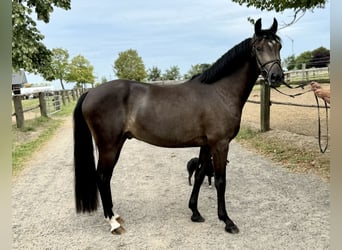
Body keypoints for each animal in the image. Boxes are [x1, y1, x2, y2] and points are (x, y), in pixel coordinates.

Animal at [73, 18, 284, 234]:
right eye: (258, 48)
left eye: (278, 46)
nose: (276, 77)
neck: (220, 92)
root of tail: (90, 92)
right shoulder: (220, 144)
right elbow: (220, 181)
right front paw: (227, 221)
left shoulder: (206, 144)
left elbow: (199, 175)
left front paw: (195, 212)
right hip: (109, 146)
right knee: (102, 177)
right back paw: (113, 223)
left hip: (116, 144)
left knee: (105, 177)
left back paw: (115, 216)